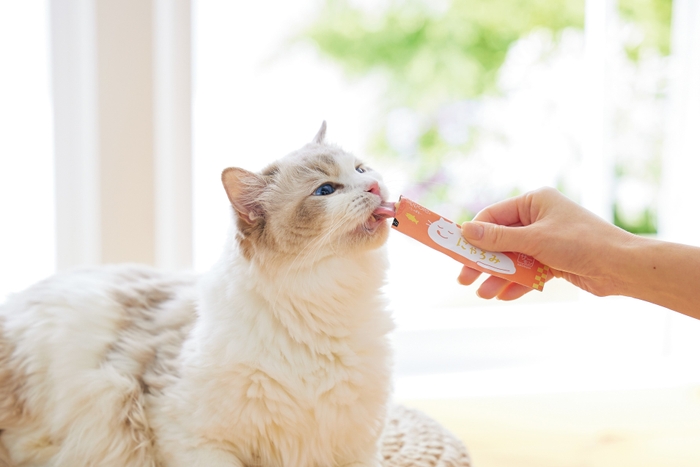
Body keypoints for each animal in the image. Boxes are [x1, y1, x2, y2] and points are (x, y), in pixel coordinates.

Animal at [0, 123, 396, 467]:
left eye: (361, 169)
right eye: (326, 190)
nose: (375, 187)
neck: (327, 311)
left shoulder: (357, 449)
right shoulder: (193, 439)